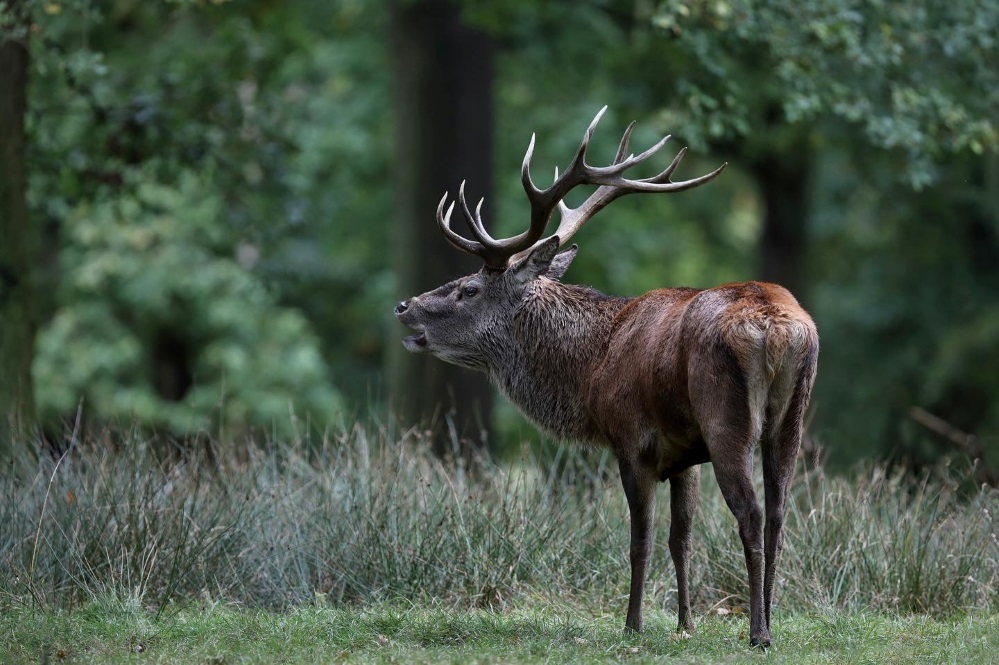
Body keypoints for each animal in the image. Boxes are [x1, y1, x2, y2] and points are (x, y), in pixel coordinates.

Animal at [394, 106, 816, 644]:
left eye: (469, 289)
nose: (405, 306)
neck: (592, 366)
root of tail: (777, 326)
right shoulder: (686, 455)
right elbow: (681, 538)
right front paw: (685, 624)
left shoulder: (631, 438)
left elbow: (641, 539)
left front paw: (633, 625)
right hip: (791, 418)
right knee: (780, 513)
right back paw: (771, 619)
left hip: (728, 420)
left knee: (752, 513)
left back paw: (759, 632)